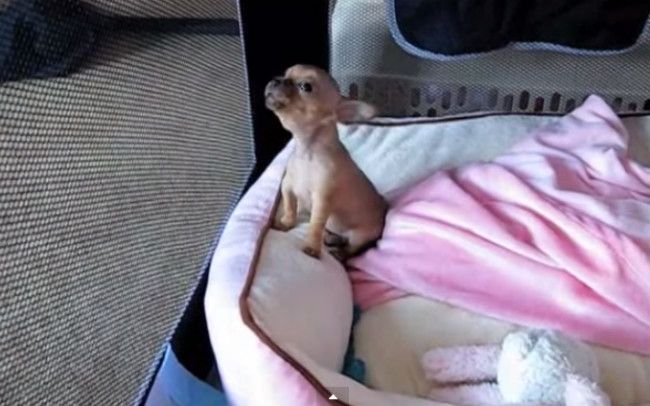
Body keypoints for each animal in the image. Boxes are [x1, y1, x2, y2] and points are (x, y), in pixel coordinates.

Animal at [264, 64, 387, 259]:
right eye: (285, 74)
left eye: (306, 87)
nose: (275, 80)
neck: (307, 151)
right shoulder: (288, 186)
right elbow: (290, 207)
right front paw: (285, 223)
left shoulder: (322, 200)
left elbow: (315, 226)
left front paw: (312, 248)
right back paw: (331, 237)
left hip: (360, 235)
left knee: (353, 248)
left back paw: (340, 253)